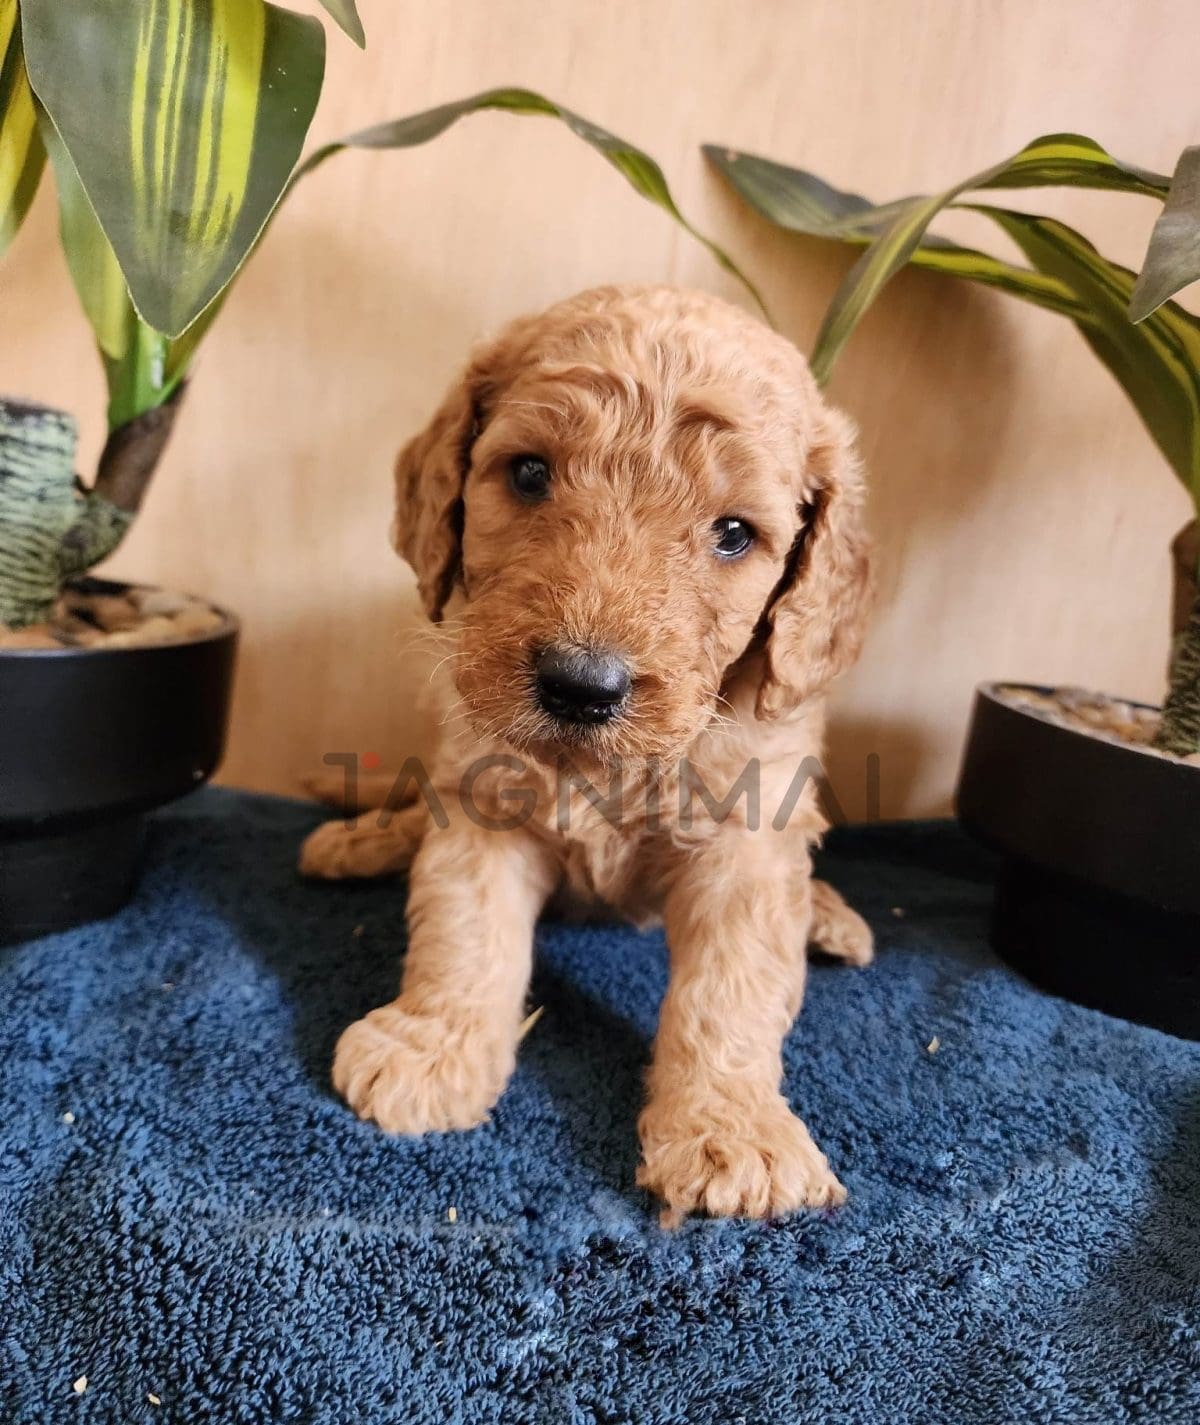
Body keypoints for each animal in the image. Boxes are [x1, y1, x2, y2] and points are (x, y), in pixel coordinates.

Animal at [301, 284, 874, 1218]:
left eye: (734, 533)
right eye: (530, 473)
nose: (581, 684)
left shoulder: (748, 838)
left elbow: (733, 987)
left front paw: (732, 1129)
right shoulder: (481, 803)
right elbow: (466, 934)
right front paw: (432, 1046)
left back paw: (828, 915)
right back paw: (358, 840)